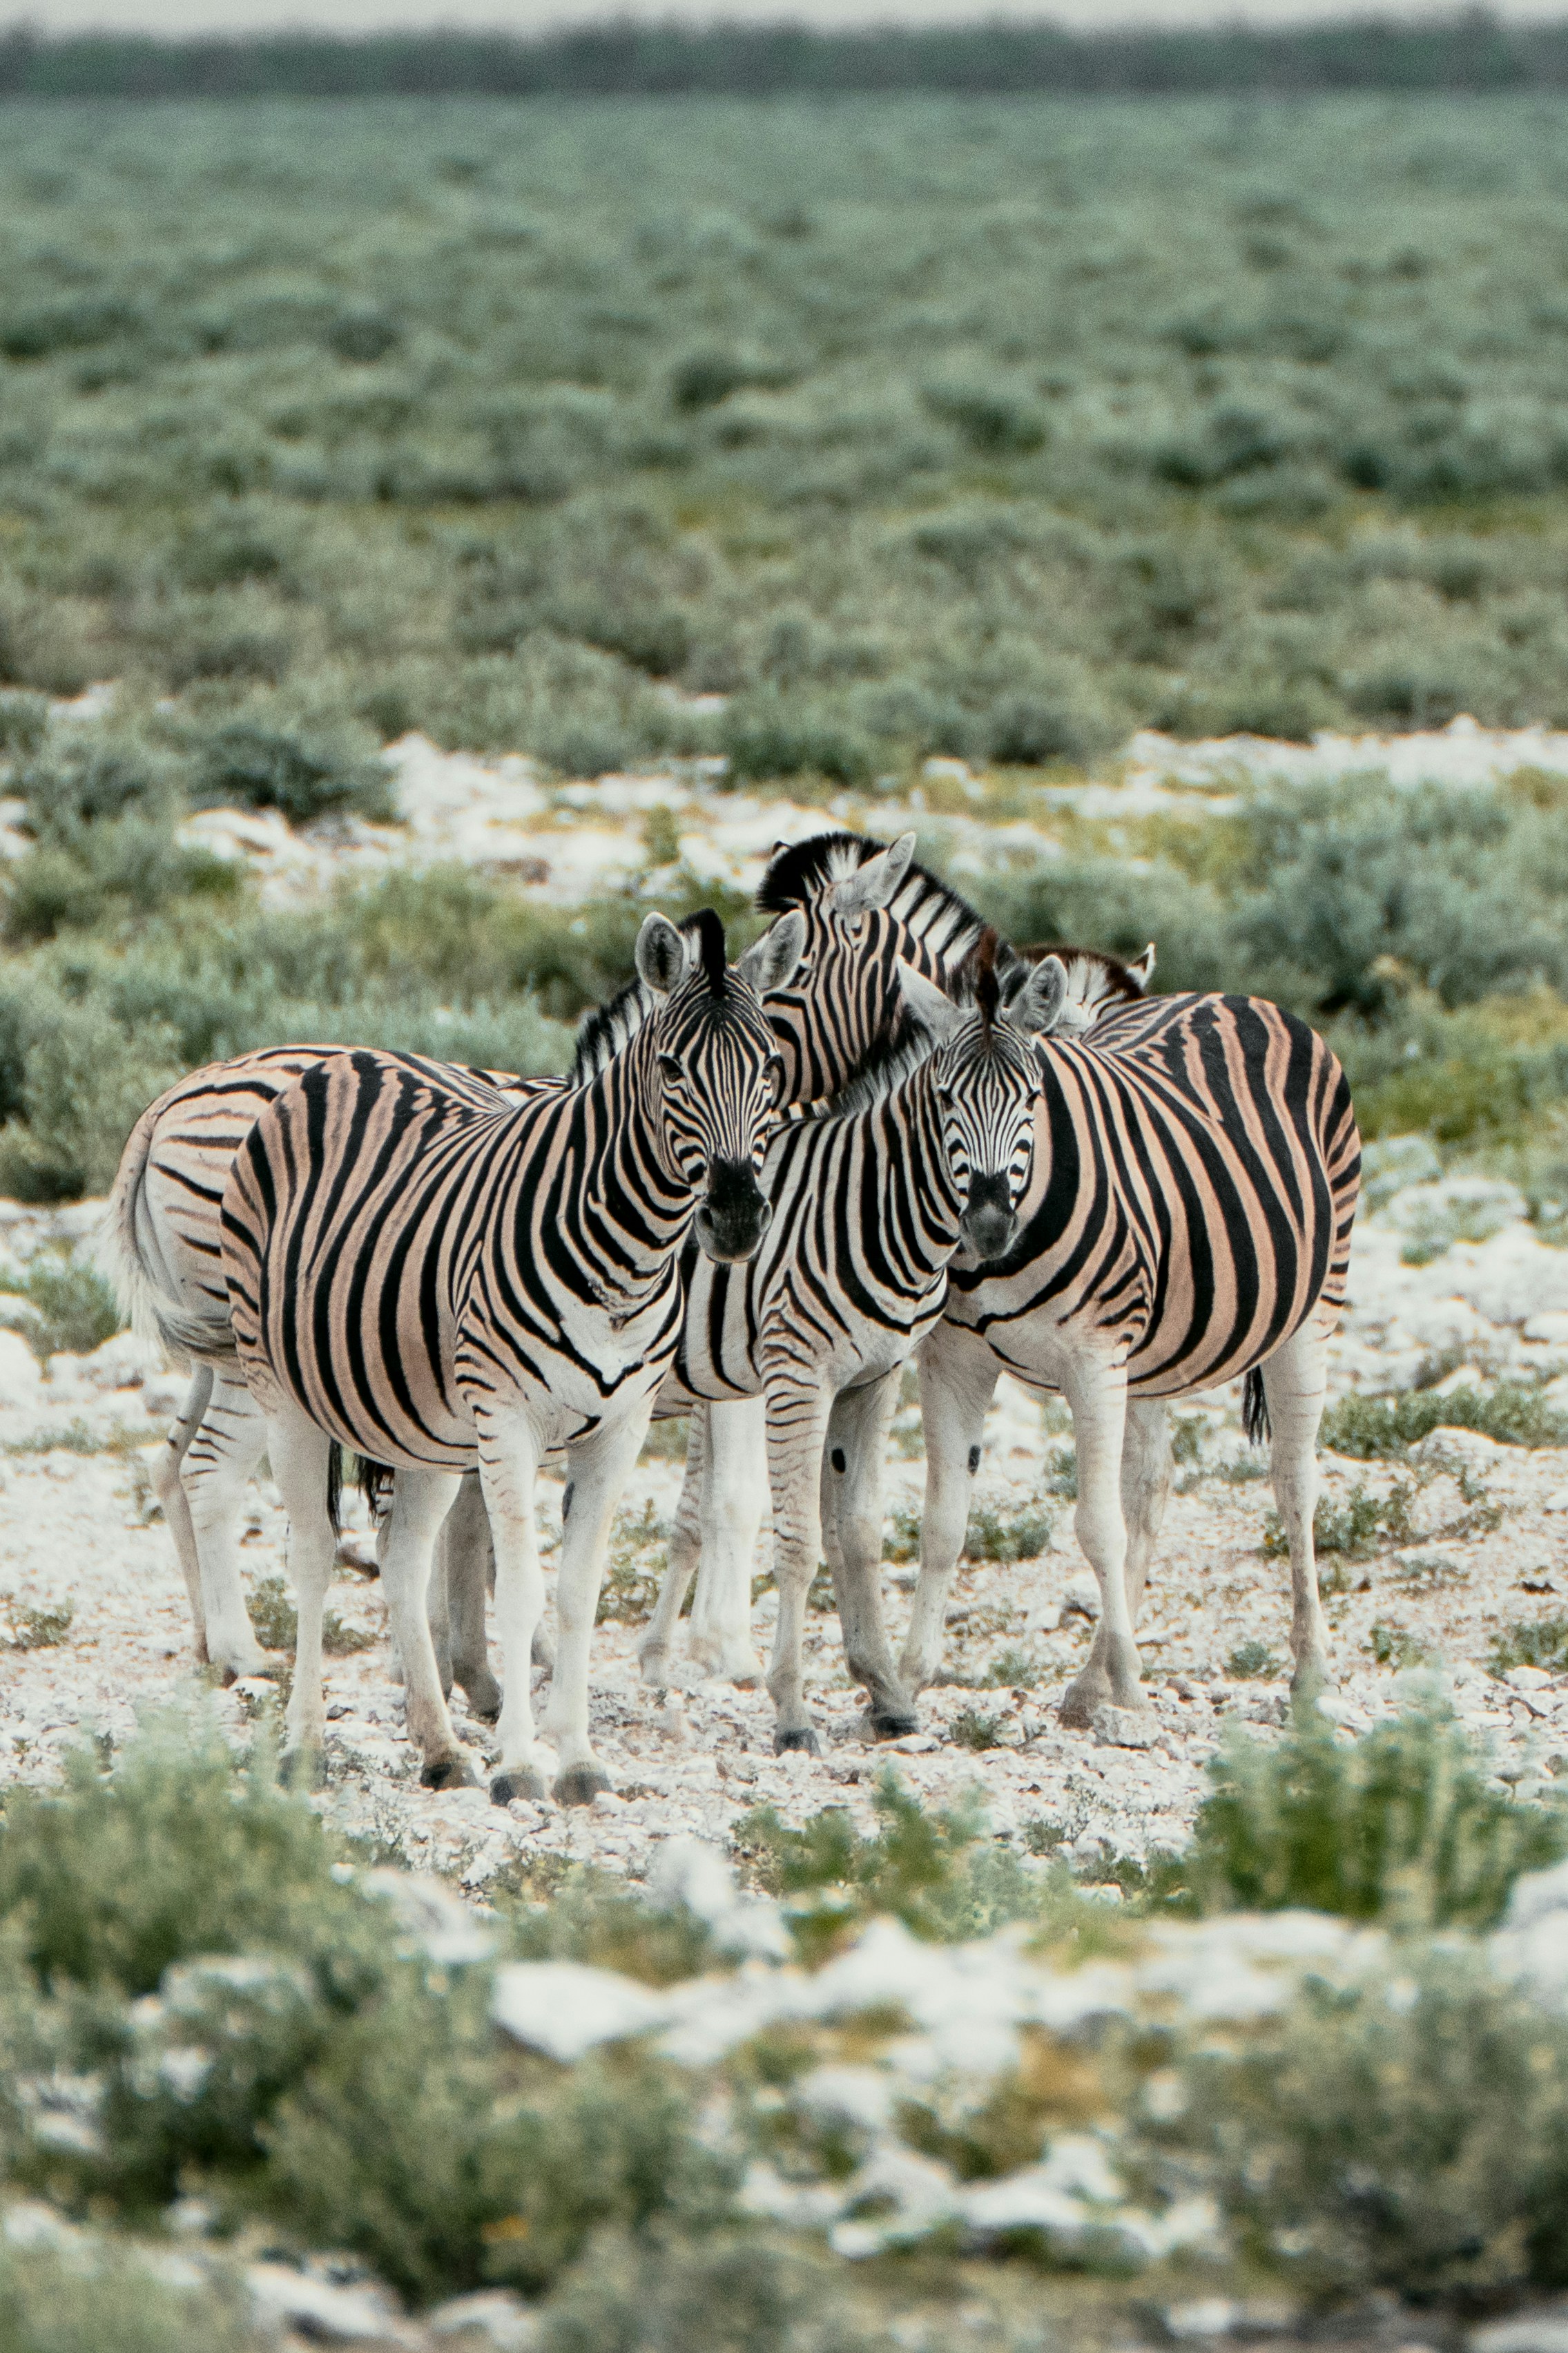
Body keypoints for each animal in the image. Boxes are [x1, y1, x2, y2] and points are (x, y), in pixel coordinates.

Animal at [218, 909, 803, 1803]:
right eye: (671, 1069)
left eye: (770, 1067)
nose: (737, 1216)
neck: (627, 1257)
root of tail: (353, 1058)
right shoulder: (507, 1417)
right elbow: (523, 1589)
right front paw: (524, 1763)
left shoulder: (621, 1426)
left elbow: (577, 1593)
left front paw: (579, 1758)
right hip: (279, 1389)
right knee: (314, 1554)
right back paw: (304, 1746)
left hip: (418, 1422)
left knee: (400, 1558)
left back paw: (440, 1747)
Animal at [647, 916, 1159, 1689]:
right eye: (1066, 1078)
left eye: (1036, 1096)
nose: (995, 1223)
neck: (856, 1190)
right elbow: (747, 1500)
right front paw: (725, 1652)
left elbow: (836, 1519)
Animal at [902, 986, 1361, 1721]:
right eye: (941, 1097)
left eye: (1033, 1097)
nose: (986, 1225)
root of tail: (1227, 994)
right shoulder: (952, 1359)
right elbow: (943, 1524)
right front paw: (904, 1680)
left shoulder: (1093, 1355)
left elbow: (1096, 1525)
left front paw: (1128, 1683)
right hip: (1147, 1355)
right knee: (1150, 1486)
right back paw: (1093, 1678)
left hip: (1313, 1307)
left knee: (1294, 1481)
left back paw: (1311, 1671)